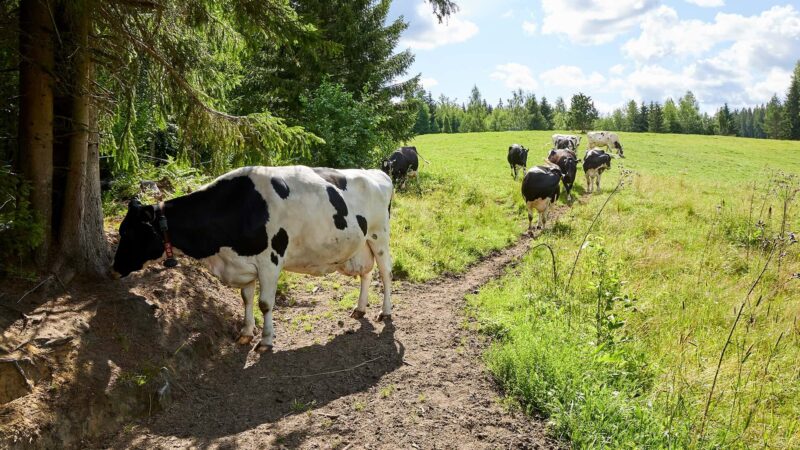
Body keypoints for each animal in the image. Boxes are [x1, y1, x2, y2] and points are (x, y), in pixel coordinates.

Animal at [111, 165, 394, 352]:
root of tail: (378, 173)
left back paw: (385, 311)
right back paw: (360, 308)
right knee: (366, 274)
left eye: (127, 232)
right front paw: (246, 333)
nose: (113, 268)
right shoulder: (242, 264)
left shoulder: (270, 261)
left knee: (385, 274)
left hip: (379, 236)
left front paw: (266, 341)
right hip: (361, 245)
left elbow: (265, 303)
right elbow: (246, 299)